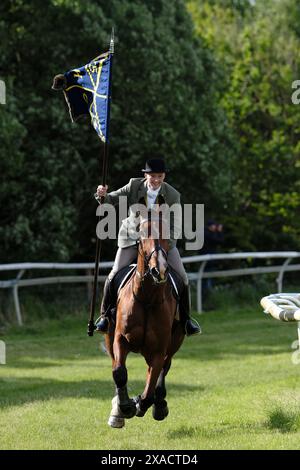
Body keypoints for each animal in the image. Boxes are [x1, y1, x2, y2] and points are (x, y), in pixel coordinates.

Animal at [105, 215, 185, 428]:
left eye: (166, 236)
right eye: (141, 239)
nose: (160, 270)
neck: (147, 297)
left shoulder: (159, 350)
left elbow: (150, 387)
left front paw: (140, 403)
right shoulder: (119, 339)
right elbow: (119, 372)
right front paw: (124, 407)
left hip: (174, 342)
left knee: (163, 368)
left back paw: (159, 404)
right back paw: (118, 409)